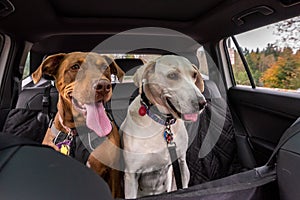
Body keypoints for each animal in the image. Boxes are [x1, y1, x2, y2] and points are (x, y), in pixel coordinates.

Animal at [119, 54, 206, 198]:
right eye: (172, 75)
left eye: (194, 75)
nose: (202, 103)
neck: (162, 122)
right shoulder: (131, 175)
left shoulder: (179, 164)